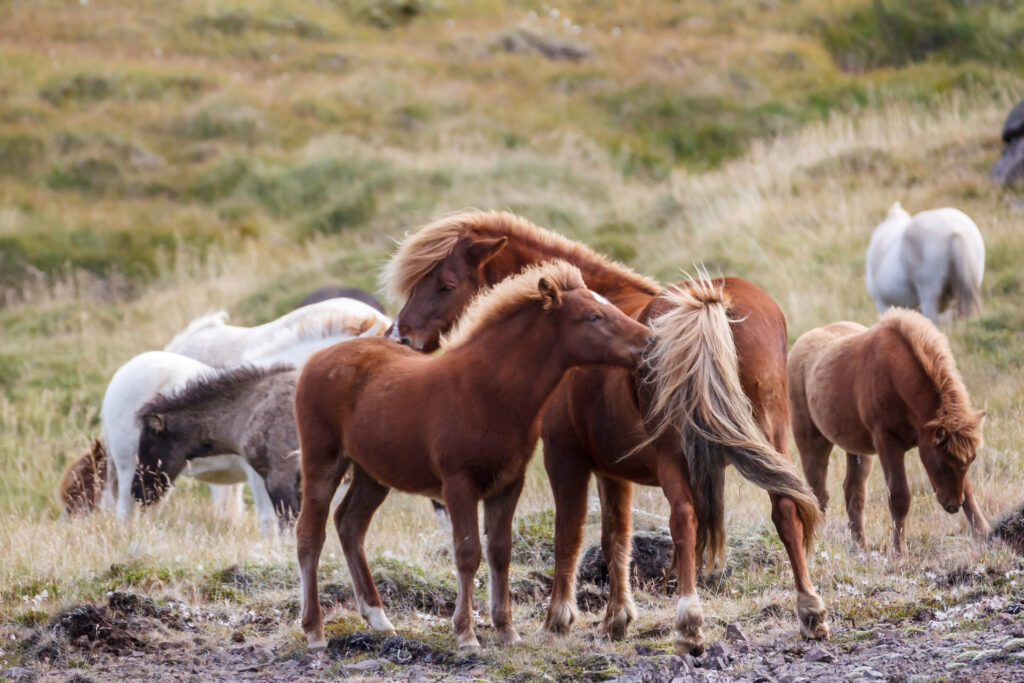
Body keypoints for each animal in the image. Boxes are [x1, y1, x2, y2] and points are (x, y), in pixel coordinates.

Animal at [292, 262, 651, 651]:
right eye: (593, 316)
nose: (648, 340)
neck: (489, 389)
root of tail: (314, 360)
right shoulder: (458, 484)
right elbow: (468, 553)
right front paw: (466, 635)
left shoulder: (508, 484)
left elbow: (500, 552)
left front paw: (507, 631)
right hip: (322, 462)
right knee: (309, 535)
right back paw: (314, 631)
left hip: (371, 473)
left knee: (350, 524)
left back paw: (378, 619)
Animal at [380, 210, 827, 655]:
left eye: (445, 285)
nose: (399, 336)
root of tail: (711, 303)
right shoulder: (613, 469)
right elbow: (616, 536)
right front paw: (616, 619)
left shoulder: (565, 457)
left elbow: (569, 534)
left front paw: (557, 619)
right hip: (771, 443)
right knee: (786, 508)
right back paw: (809, 610)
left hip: (675, 455)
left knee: (684, 519)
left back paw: (689, 622)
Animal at [786, 307, 987, 557]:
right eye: (941, 464)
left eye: (970, 461)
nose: (953, 505)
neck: (896, 375)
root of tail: (799, 346)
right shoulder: (888, 443)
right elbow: (899, 496)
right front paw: (899, 553)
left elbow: (969, 490)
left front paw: (984, 534)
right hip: (812, 442)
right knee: (818, 492)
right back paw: (818, 541)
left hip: (858, 451)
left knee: (853, 493)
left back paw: (860, 547)